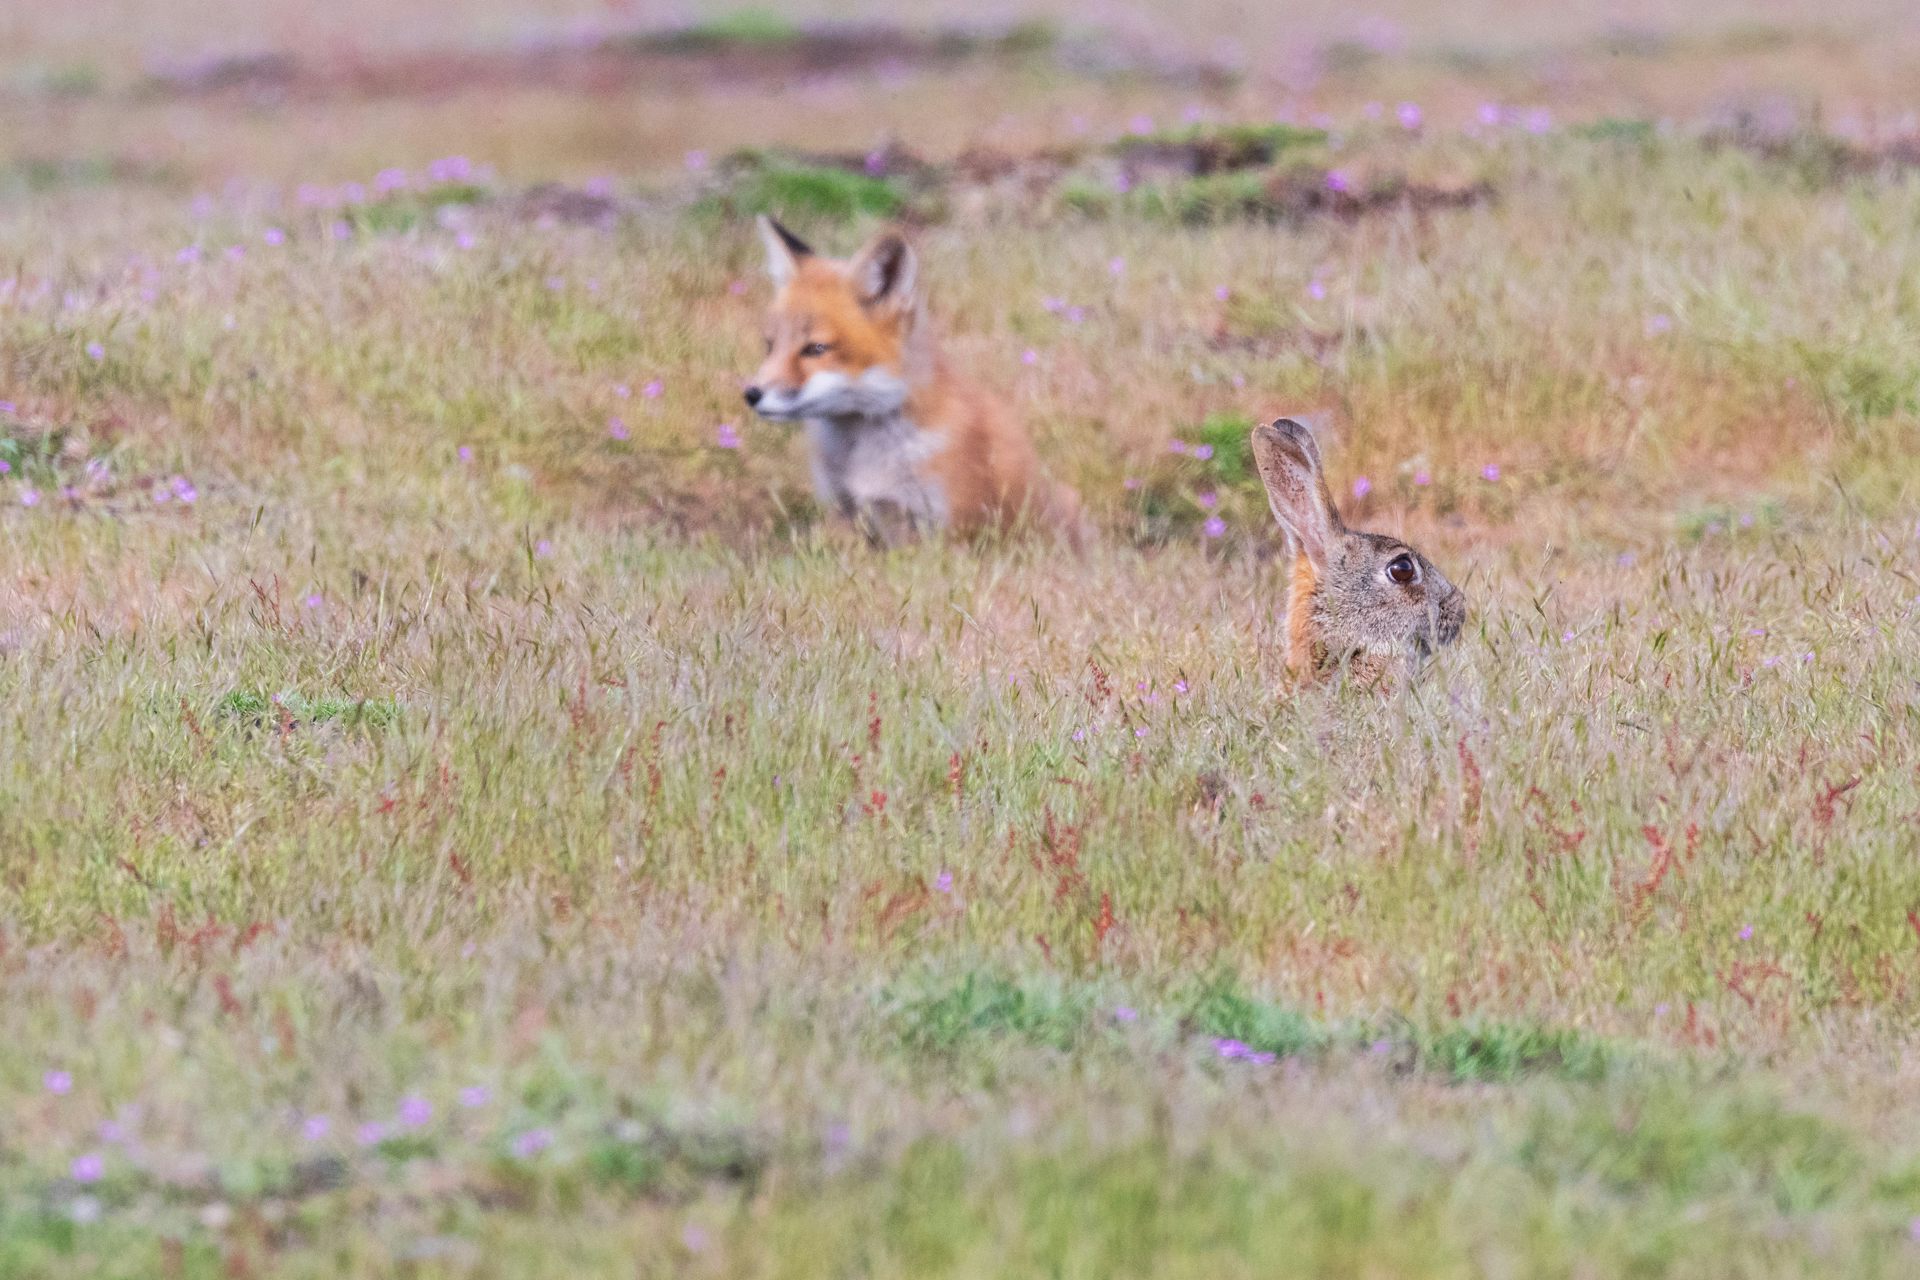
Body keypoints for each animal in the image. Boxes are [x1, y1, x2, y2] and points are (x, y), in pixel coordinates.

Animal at [743, 216, 1082, 547]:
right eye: (770, 345)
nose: (751, 393)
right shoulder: (845, 512)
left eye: (815, 349)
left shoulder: (947, 530)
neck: (863, 456)